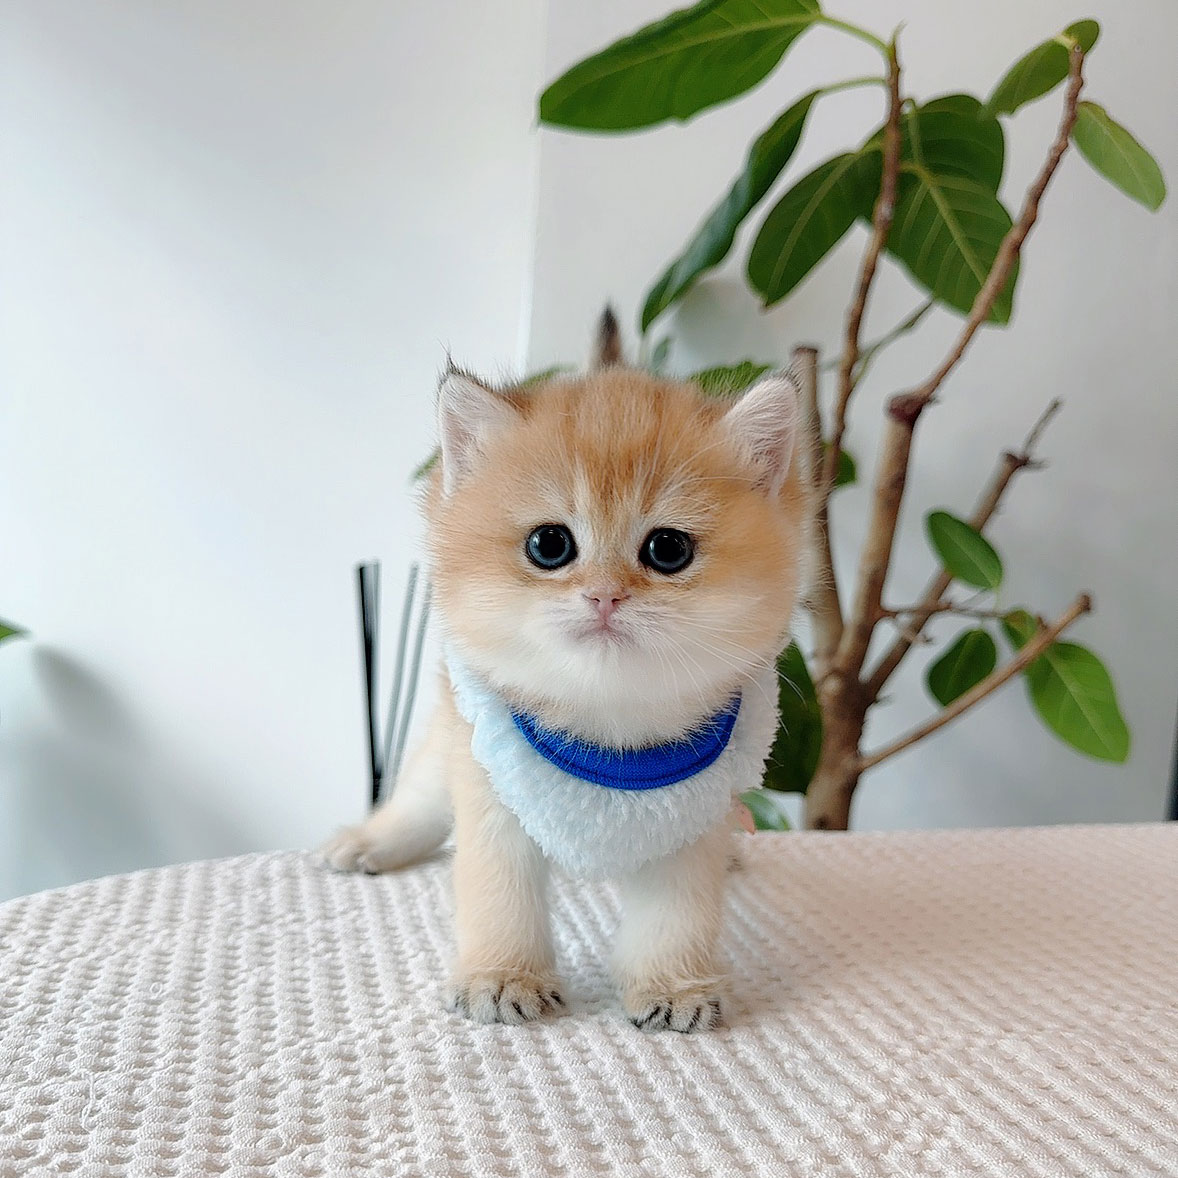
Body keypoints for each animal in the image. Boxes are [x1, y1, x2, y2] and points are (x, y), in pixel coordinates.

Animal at [323, 311, 807, 1032]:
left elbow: (675, 917)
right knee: (419, 795)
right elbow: (498, 895)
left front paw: (674, 987)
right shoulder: (493, 797)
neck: (608, 725)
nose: (605, 596)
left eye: (668, 550)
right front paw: (503, 977)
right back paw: (371, 842)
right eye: (549, 545)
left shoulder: (687, 825)